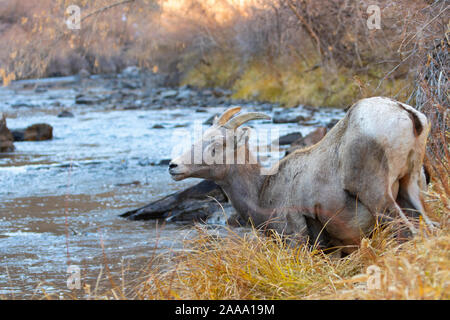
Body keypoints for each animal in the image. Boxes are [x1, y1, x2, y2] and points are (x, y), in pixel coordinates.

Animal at [168, 97, 432, 252]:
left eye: (217, 144)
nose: (173, 166)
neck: (263, 190)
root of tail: (408, 114)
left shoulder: (295, 234)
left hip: (379, 196)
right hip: (411, 187)